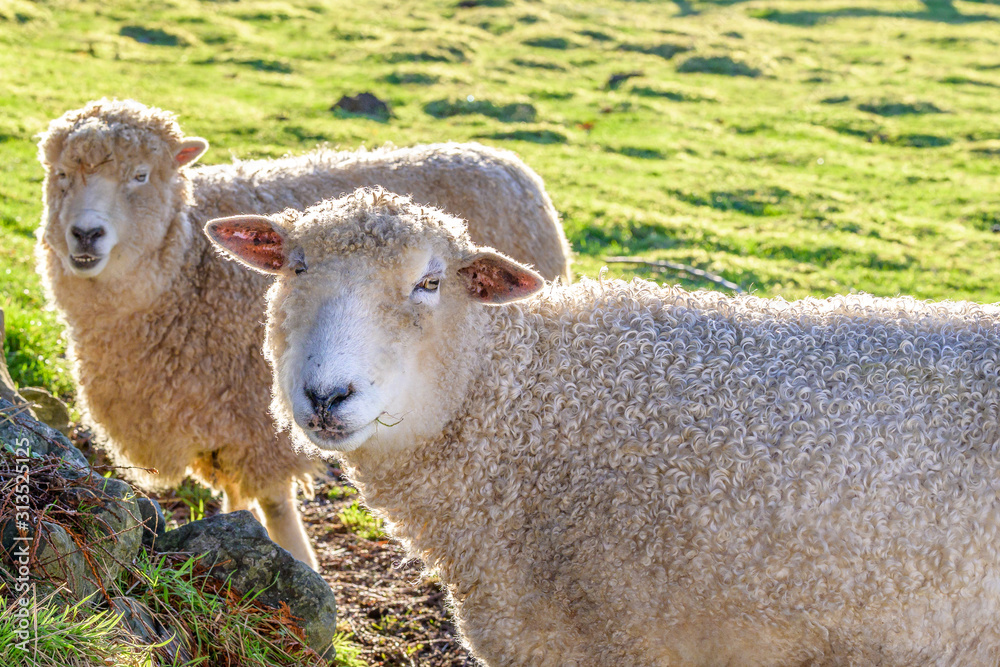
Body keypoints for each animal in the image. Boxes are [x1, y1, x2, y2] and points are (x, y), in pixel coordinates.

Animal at [35, 99, 572, 570]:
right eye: (60, 176)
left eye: (140, 176)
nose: (85, 234)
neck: (186, 264)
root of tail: (502, 159)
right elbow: (233, 492)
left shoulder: (255, 414)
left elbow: (275, 502)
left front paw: (297, 560)